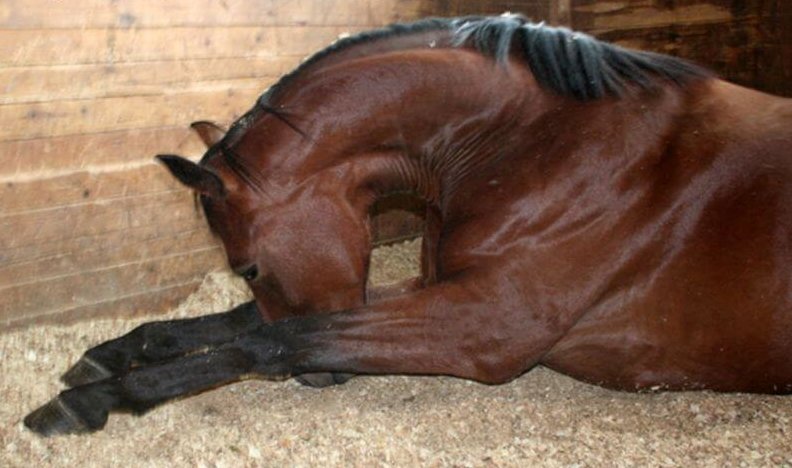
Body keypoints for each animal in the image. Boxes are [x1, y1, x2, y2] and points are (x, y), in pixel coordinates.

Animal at [25, 14, 792, 436]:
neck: (540, 144)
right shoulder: (438, 286)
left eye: (247, 264)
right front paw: (114, 352)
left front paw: (96, 399)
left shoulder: (485, 325)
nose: (324, 382)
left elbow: (275, 337)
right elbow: (242, 323)